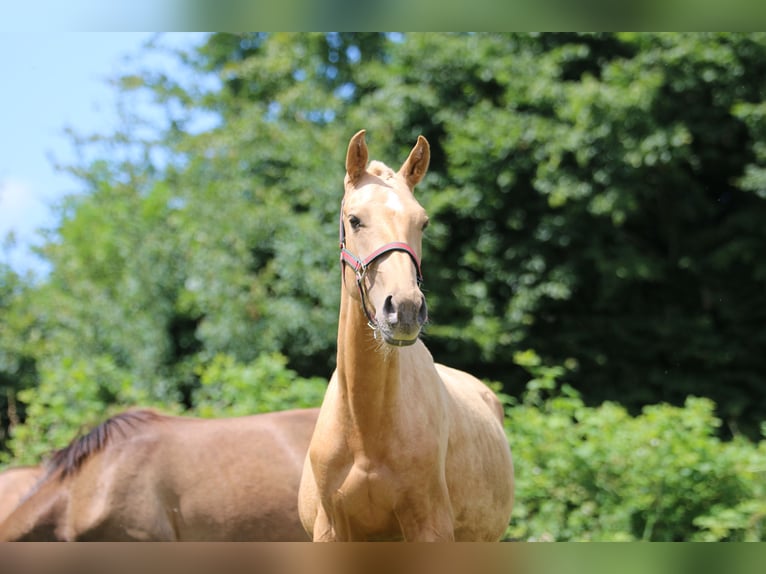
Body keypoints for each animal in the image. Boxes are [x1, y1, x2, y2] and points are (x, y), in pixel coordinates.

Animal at [300, 132, 516, 544]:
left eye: (423, 223)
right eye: (355, 220)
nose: (404, 309)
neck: (365, 430)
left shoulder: (428, 527)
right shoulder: (331, 532)